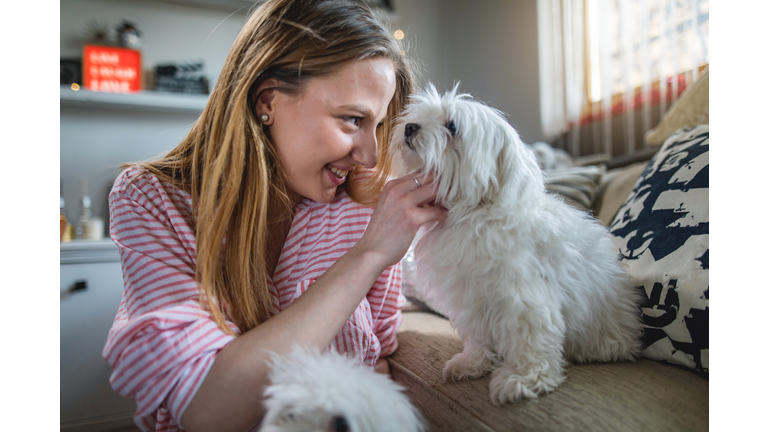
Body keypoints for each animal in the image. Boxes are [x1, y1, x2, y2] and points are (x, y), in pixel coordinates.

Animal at [390, 85, 640, 404]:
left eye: (453, 126)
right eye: (418, 116)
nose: (410, 127)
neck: (473, 214)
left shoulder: (523, 296)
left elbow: (530, 337)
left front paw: (524, 379)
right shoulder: (473, 298)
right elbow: (479, 334)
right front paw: (472, 363)